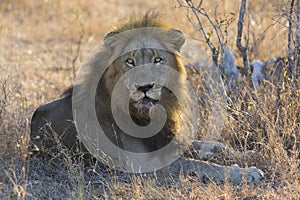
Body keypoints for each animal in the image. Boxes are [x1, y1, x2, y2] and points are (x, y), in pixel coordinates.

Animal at [30, 13, 264, 184]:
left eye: (157, 60)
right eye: (130, 61)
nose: (144, 87)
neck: (150, 114)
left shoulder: (168, 138)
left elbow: (214, 146)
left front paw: (248, 154)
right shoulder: (144, 165)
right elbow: (199, 165)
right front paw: (247, 173)